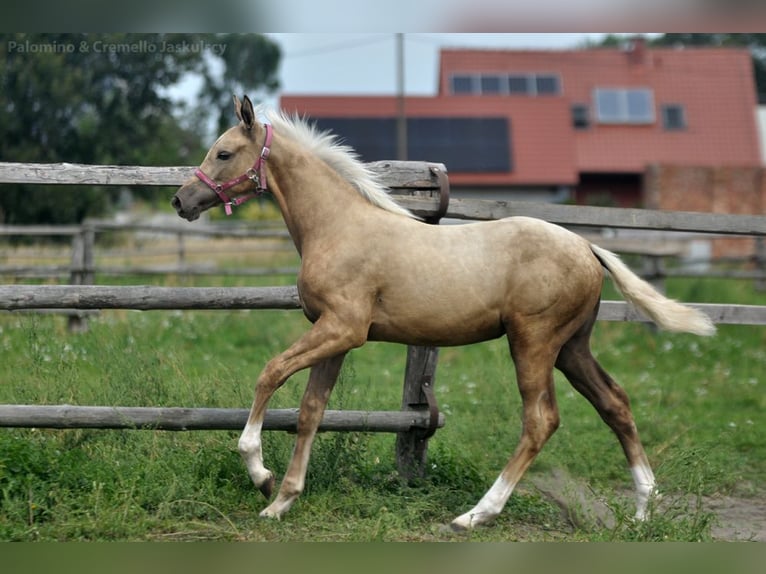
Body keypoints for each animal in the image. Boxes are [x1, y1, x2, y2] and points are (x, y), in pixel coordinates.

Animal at [171, 97, 716, 532]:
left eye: (223, 153)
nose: (181, 200)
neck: (338, 225)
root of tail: (587, 247)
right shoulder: (335, 337)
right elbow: (310, 411)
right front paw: (281, 501)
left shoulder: (342, 329)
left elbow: (270, 373)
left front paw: (260, 474)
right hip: (572, 347)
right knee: (615, 403)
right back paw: (645, 508)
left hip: (534, 342)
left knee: (541, 420)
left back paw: (475, 515)